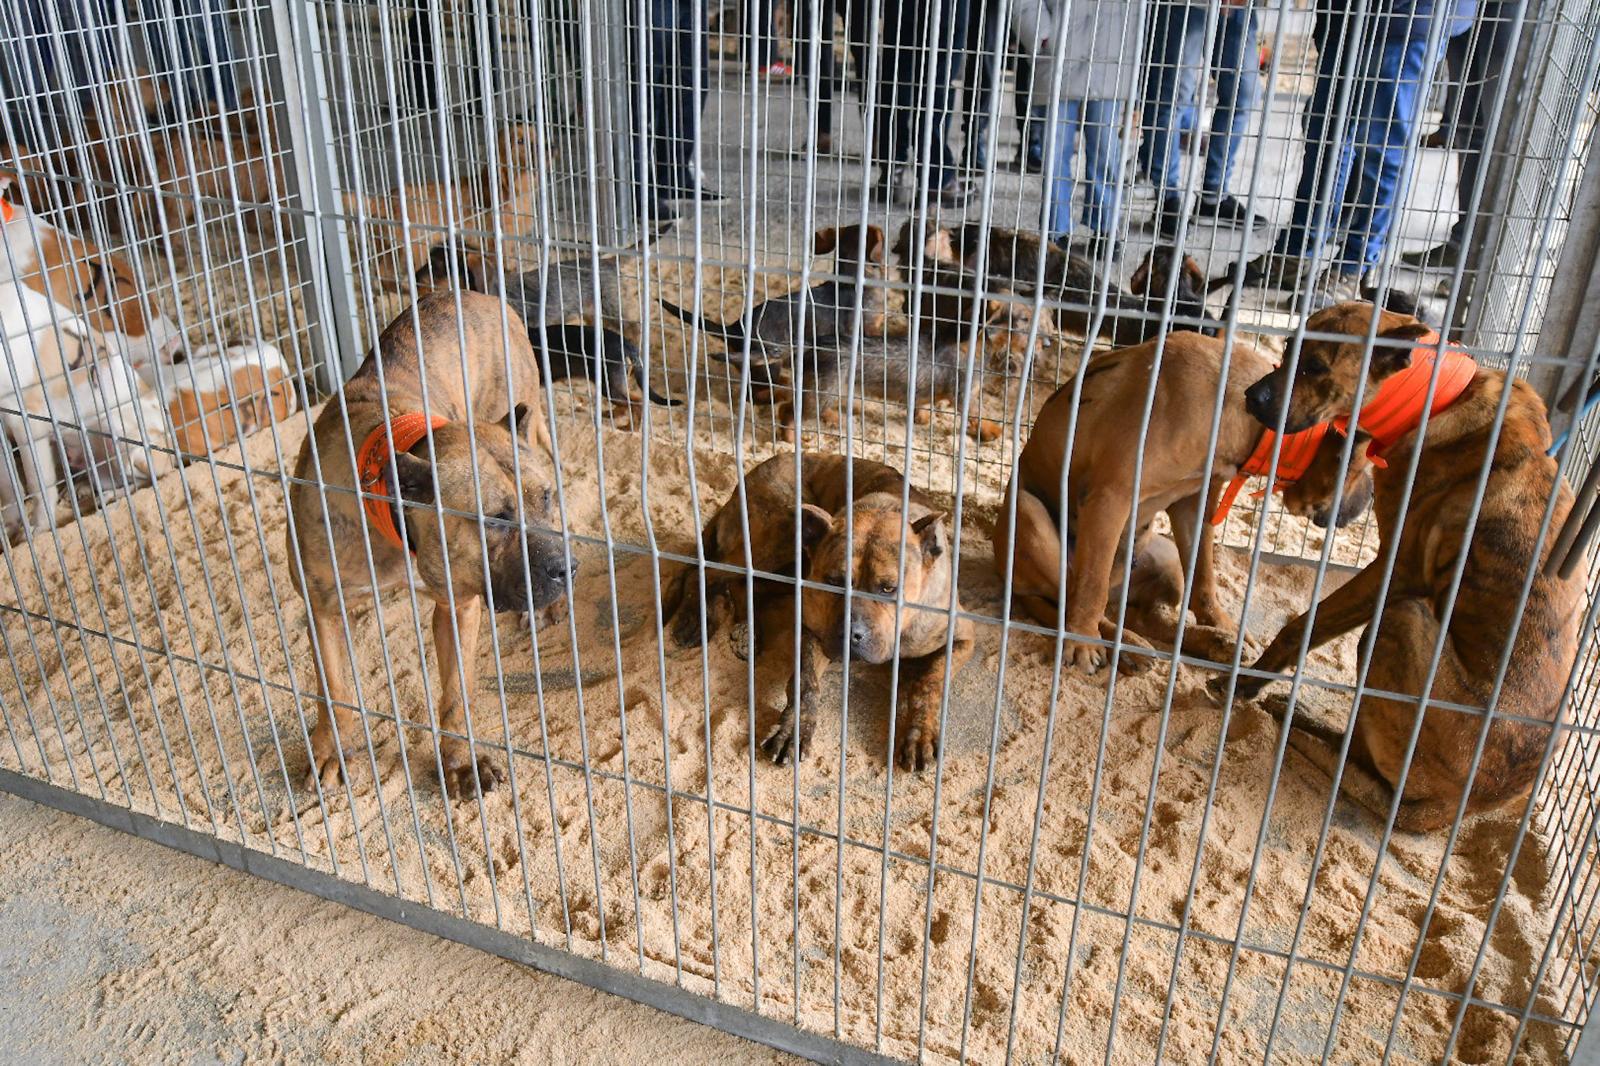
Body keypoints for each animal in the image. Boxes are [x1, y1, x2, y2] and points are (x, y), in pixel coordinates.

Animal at [291, 291, 572, 797]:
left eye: (544, 498)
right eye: (493, 519)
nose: (566, 567)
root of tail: (481, 296)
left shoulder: (459, 604)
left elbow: (456, 693)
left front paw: (461, 762)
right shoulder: (322, 608)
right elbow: (334, 690)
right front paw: (333, 751)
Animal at [665, 451, 972, 771]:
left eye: (889, 588)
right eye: (834, 581)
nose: (851, 634)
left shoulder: (961, 638)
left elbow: (929, 683)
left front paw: (919, 732)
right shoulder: (811, 628)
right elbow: (806, 683)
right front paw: (794, 728)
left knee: (743, 583)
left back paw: (747, 631)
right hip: (782, 533)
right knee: (706, 572)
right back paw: (694, 621)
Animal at [1209, 299, 1587, 832]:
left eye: (1316, 366)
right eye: (1287, 347)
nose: (1250, 397)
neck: (1439, 400)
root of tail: (1450, 812)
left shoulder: (1394, 570)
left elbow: (1302, 626)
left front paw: (1243, 684)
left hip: (1400, 619)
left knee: (1367, 764)